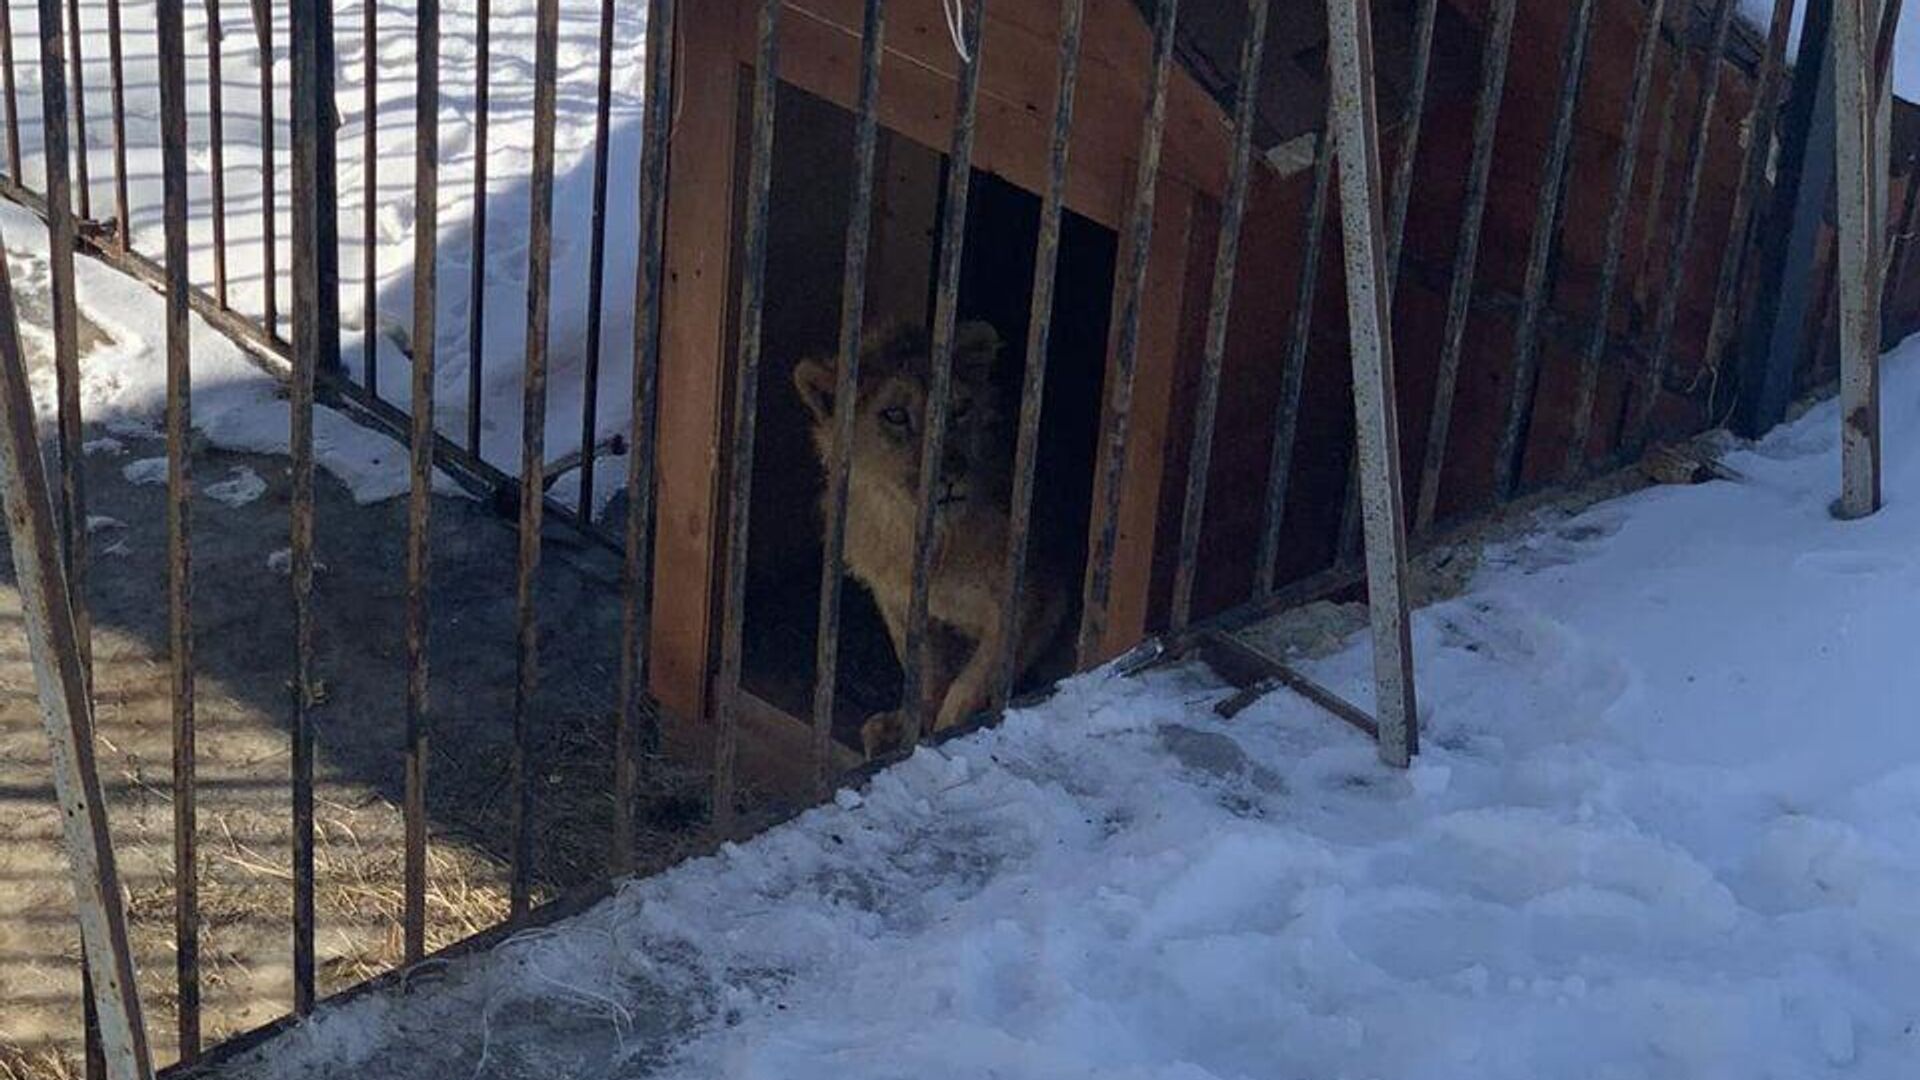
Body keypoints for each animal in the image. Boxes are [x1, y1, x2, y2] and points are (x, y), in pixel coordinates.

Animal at [791, 319, 1075, 757]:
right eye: (894, 415)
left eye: (959, 410)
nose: (950, 475)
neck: (919, 534)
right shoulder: (898, 597)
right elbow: (923, 665)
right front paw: (905, 727)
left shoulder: (1036, 596)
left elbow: (973, 681)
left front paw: (943, 734)